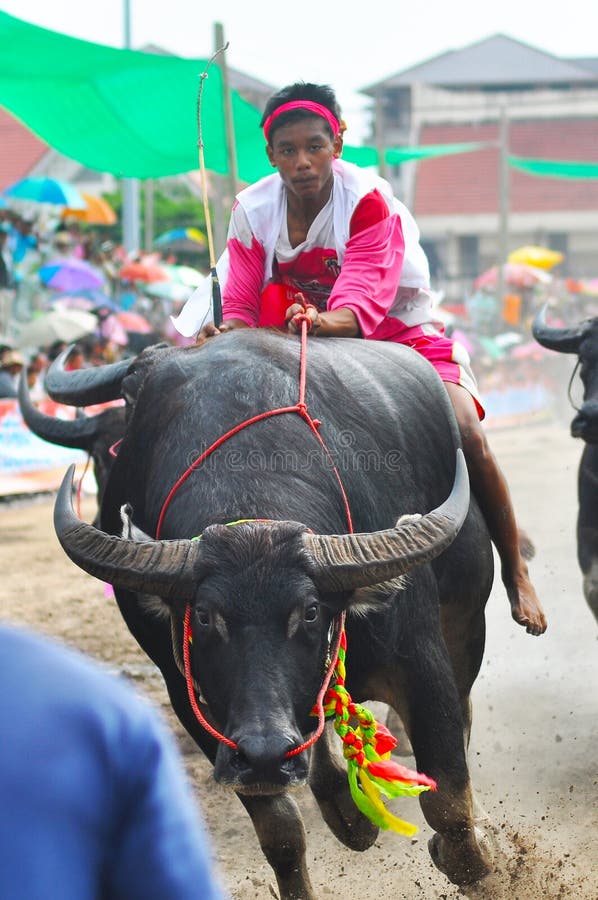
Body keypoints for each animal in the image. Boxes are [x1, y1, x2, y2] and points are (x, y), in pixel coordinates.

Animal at [54, 332, 496, 900]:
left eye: (309, 612)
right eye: (203, 618)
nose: (265, 752)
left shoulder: (422, 662)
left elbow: (448, 804)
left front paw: (480, 858)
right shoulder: (198, 707)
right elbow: (281, 833)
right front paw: (349, 819)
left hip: (467, 618)